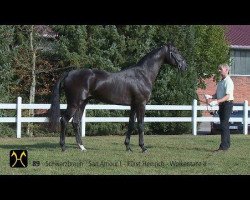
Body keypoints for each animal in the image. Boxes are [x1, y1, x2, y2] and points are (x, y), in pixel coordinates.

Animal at [47, 42, 187, 152]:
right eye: (175, 51)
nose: (185, 66)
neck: (142, 75)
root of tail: (69, 73)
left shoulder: (133, 105)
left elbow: (131, 124)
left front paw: (128, 147)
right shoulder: (141, 104)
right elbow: (140, 124)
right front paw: (143, 147)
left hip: (82, 103)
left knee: (76, 122)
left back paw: (82, 147)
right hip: (74, 103)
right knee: (64, 120)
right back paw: (63, 147)